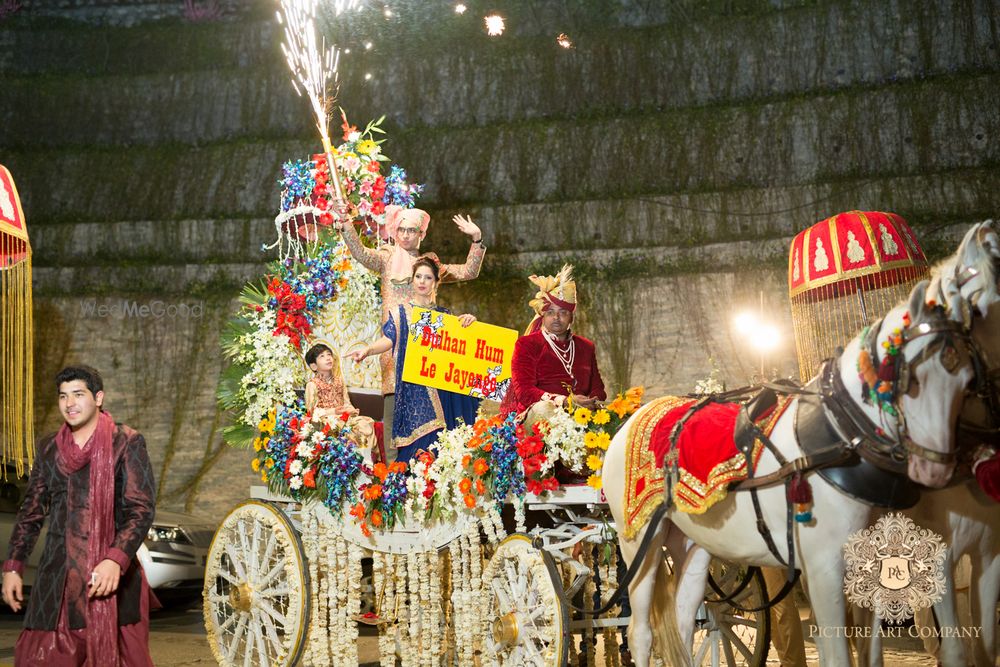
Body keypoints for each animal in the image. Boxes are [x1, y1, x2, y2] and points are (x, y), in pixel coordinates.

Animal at [604, 276, 980, 664]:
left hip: (693, 543)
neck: (835, 439)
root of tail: (634, 417)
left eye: (968, 382)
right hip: (640, 543)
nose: (936, 470)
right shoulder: (823, 566)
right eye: (912, 380)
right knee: (641, 633)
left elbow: (867, 650)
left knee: (683, 622)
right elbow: (837, 651)